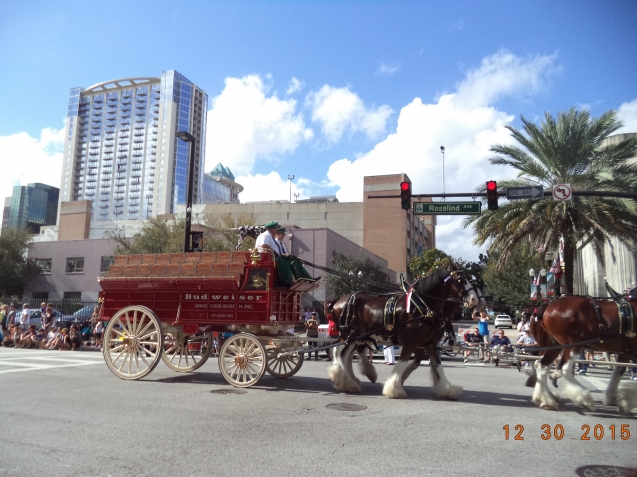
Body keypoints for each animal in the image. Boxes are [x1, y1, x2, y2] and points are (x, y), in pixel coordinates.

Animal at [328, 268, 476, 398]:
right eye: (459, 280)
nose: (474, 299)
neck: (421, 307)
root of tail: (338, 301)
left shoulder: (430, 344)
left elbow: (437, 366)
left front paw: (447, 389)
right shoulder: (410, 343)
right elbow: (403, 362)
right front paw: (394, 389)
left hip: (356, 337)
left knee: (346, 355)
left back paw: (350, 381)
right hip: (348, 335)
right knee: (338, 351)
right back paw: (344, 379)